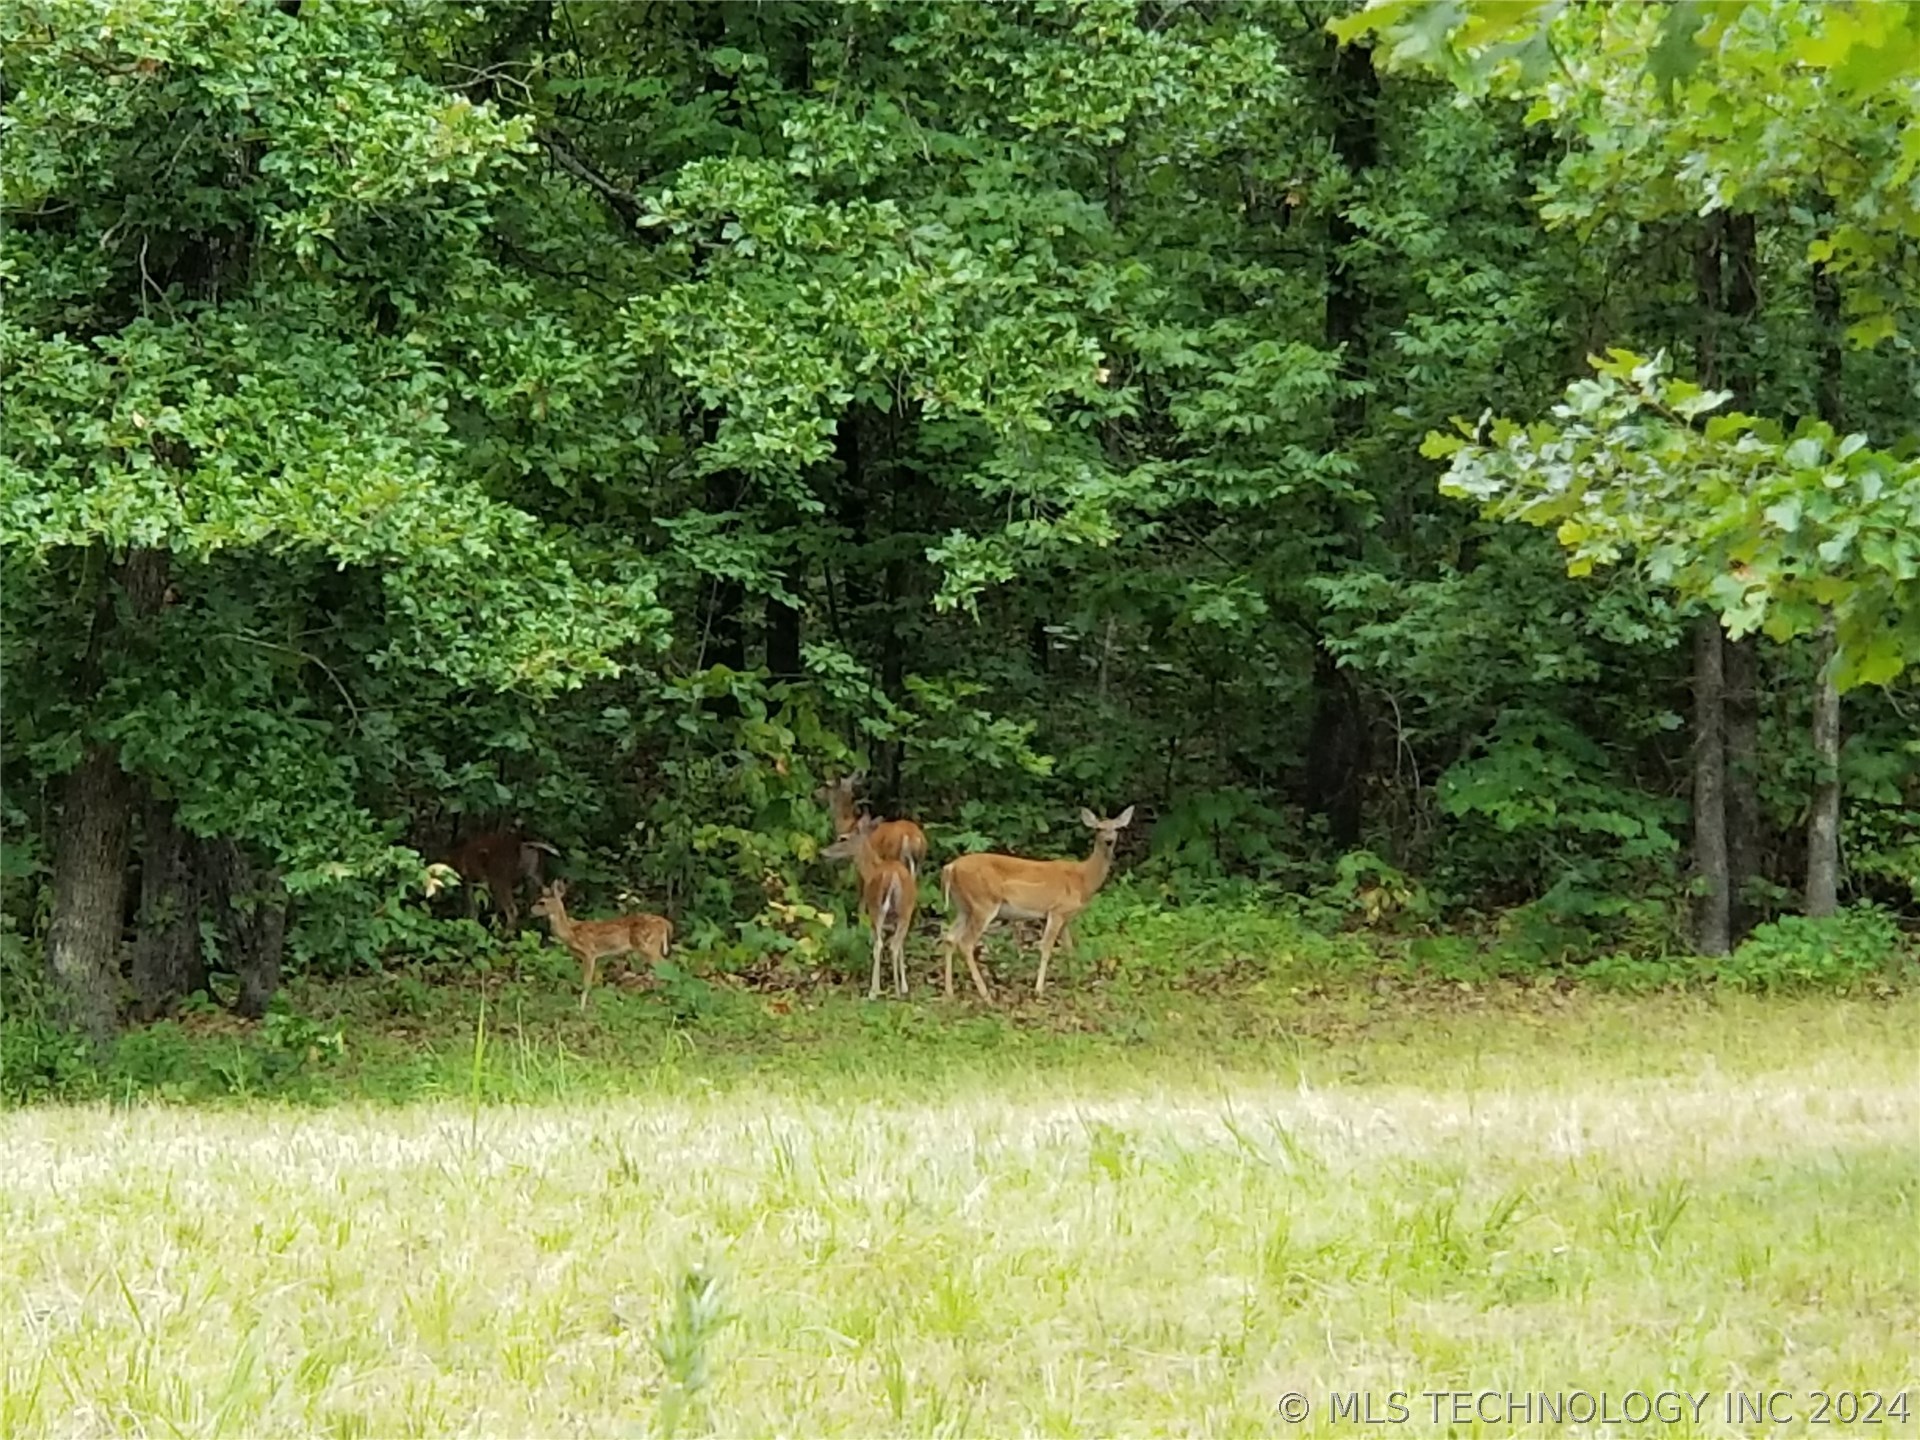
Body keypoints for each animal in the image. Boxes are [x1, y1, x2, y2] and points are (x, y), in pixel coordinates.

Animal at [526, 879, 675, 1013]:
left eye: (541, 902)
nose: (531, 910)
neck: (571, 932)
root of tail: (665, 923)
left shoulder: (590, 953)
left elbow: (586, 983)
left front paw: (581, 1010)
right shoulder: (588, 958)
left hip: (648, 946)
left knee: (666, 969)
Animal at [821, 814, 917, 1006]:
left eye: (843, 838)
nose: (823, 851)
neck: (872, 868)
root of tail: (893, 878)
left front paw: (879, 989)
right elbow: (901, 945)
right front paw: (904, 986)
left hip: (877, 910)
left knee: (881, 944)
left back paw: (876, 992)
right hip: (903, 911)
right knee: (894, 944)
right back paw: (896, 991)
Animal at [936, 806, 1128, 1006]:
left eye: (1117, 828)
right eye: (1098, 828)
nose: (1109, 841)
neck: (1083, 878)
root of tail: (950, 867)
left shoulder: (1066, 917)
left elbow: (1068, 948)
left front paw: (1075, 981)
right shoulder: (1056, 911)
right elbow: (1046, 947)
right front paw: (1038, 990)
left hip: (964, 907)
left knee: (949, 938)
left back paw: (950, 992)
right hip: (983, 902)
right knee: (965, 942)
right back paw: (986, 996)